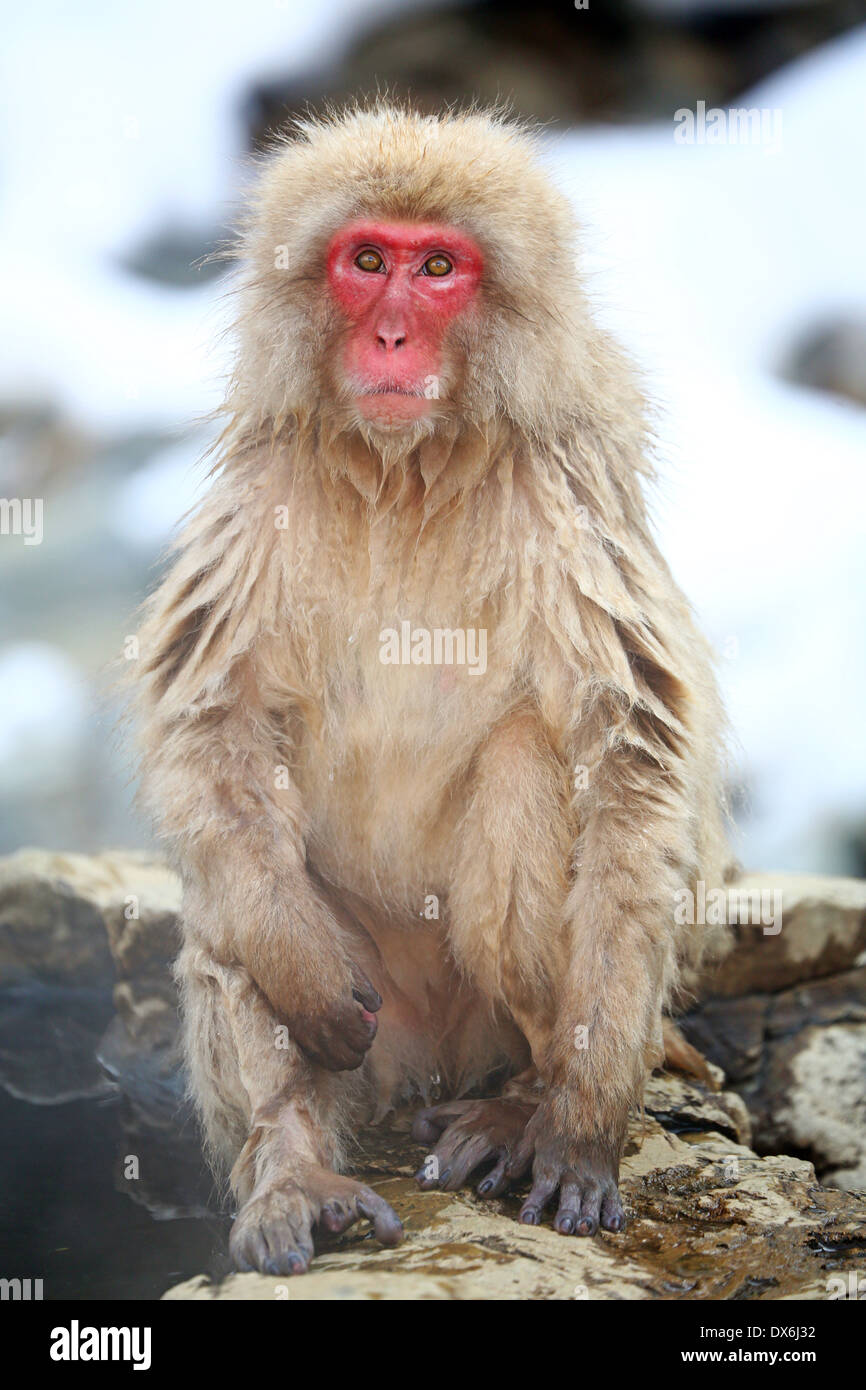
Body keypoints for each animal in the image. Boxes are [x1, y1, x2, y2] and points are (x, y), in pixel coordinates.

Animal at [134, 100, 733, 1273]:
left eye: (439, 268)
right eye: (367, 262)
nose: (391, 337)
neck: (406, 470)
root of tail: (430, 1067)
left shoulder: (567, 502)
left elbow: (629, 754)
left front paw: (582, 1120)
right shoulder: (263, 495)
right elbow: (214, 726)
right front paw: (298, 973)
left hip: (475, 1020)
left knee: (525, 764)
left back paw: (525, 1098)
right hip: (380, 1030)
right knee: (228, 881)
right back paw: (293, 1163)